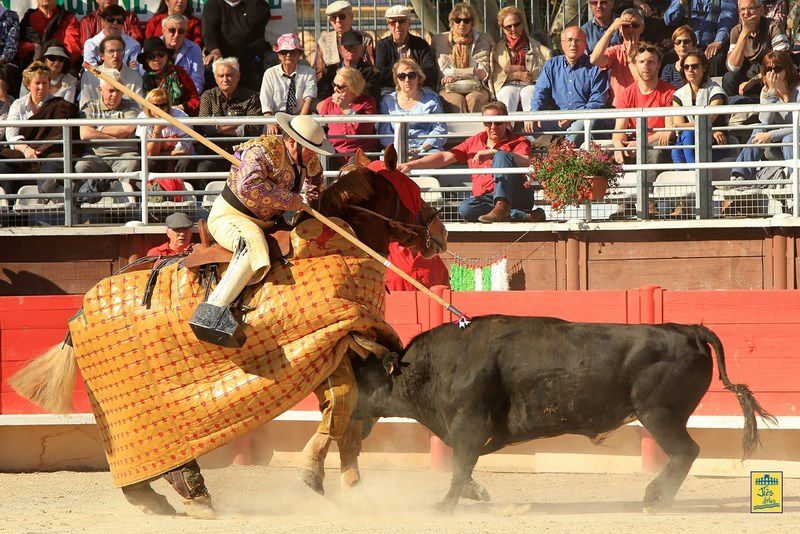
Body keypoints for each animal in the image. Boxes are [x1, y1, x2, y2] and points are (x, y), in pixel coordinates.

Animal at [9, 147, 446, 520]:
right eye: (412, 189)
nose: (441, 233)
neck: (342, 243)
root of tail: (82, 306)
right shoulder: (334, 339)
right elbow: (343, 406)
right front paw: (312, 474)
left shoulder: (339, 350)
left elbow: (347, 415)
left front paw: (353, 490)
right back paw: (189, 493)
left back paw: (166, 496)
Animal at [352, 316, 776, 512]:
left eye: (363, 375)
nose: (347, 409)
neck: (445, 363)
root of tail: (688, 330)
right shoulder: (475, 432)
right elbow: (464, 465)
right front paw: (475, 493)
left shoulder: (469, 423)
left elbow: (460, 464)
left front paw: (443, 507)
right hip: (664, 416)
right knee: (684, 454)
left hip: (659, 414)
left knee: (686, 452)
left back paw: (654, 497)